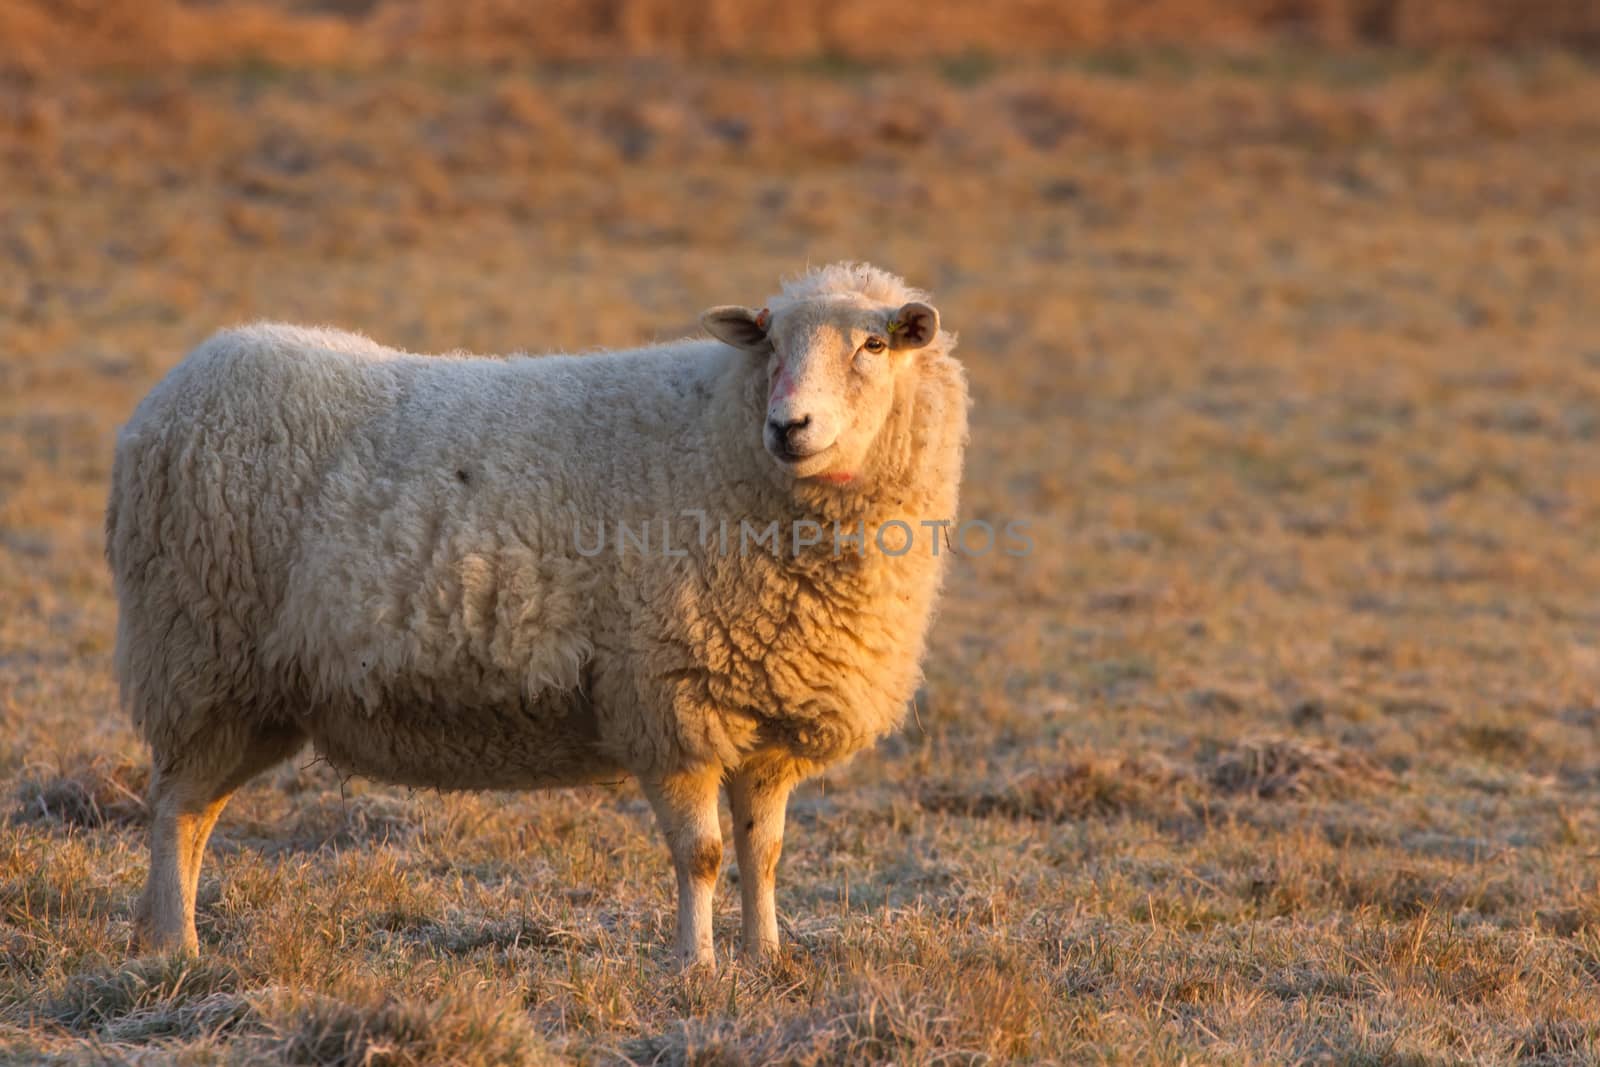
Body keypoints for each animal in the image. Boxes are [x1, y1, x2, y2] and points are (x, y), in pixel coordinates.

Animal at [106, 260, 966, 966]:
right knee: (174, 810)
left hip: (249, 691)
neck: (722, 442)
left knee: (195, 810)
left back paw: (155, 933)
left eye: (874, 345)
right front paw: (697, 967)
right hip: (200, 657)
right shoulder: (667, 697)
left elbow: (766, 852)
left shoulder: (765, 717)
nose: (789, 427)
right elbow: (702, 855)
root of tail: (168, 395)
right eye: (771, 345)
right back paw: (177, 946)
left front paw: (767, 958)